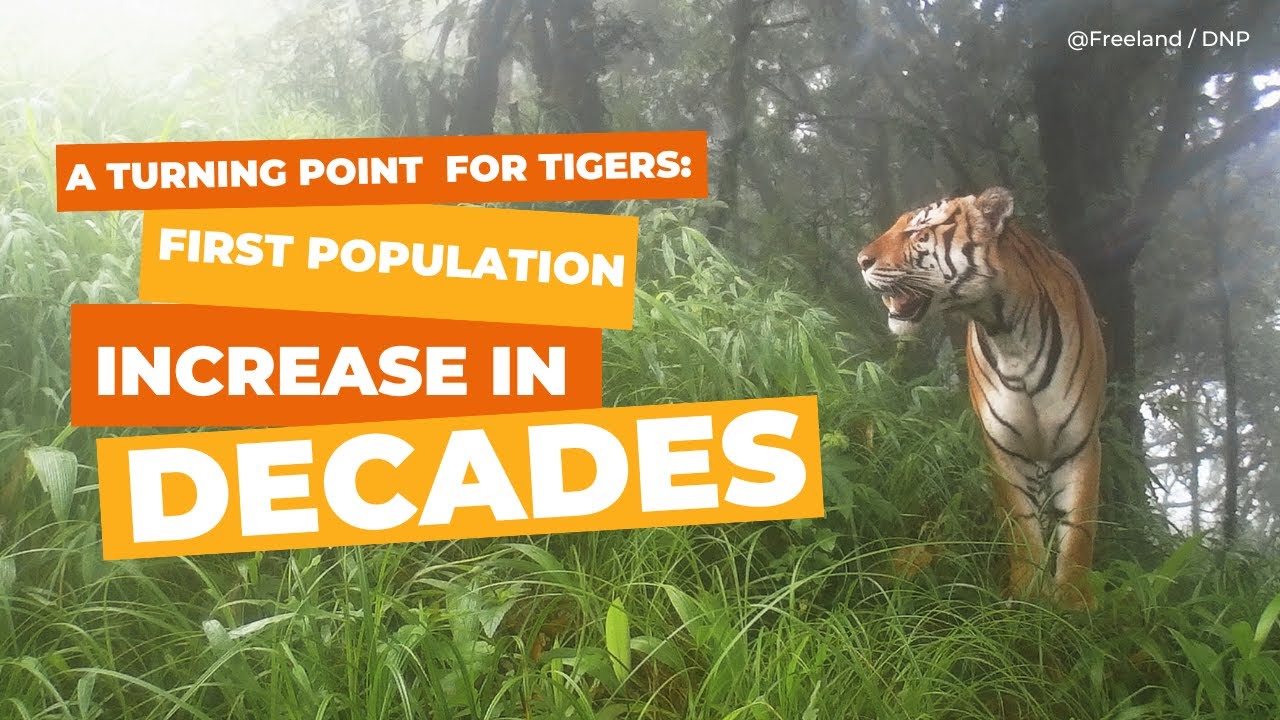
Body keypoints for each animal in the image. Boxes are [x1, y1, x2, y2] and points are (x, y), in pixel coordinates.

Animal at [853, 187, 1106, 610]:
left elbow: (1077, 533)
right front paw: (1026, 600)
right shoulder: (1003, 447)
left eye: (919, 231)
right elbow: (1021, 530)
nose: (860, 261)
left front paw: (1072, 606)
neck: (1008, 332)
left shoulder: (1080, 443)